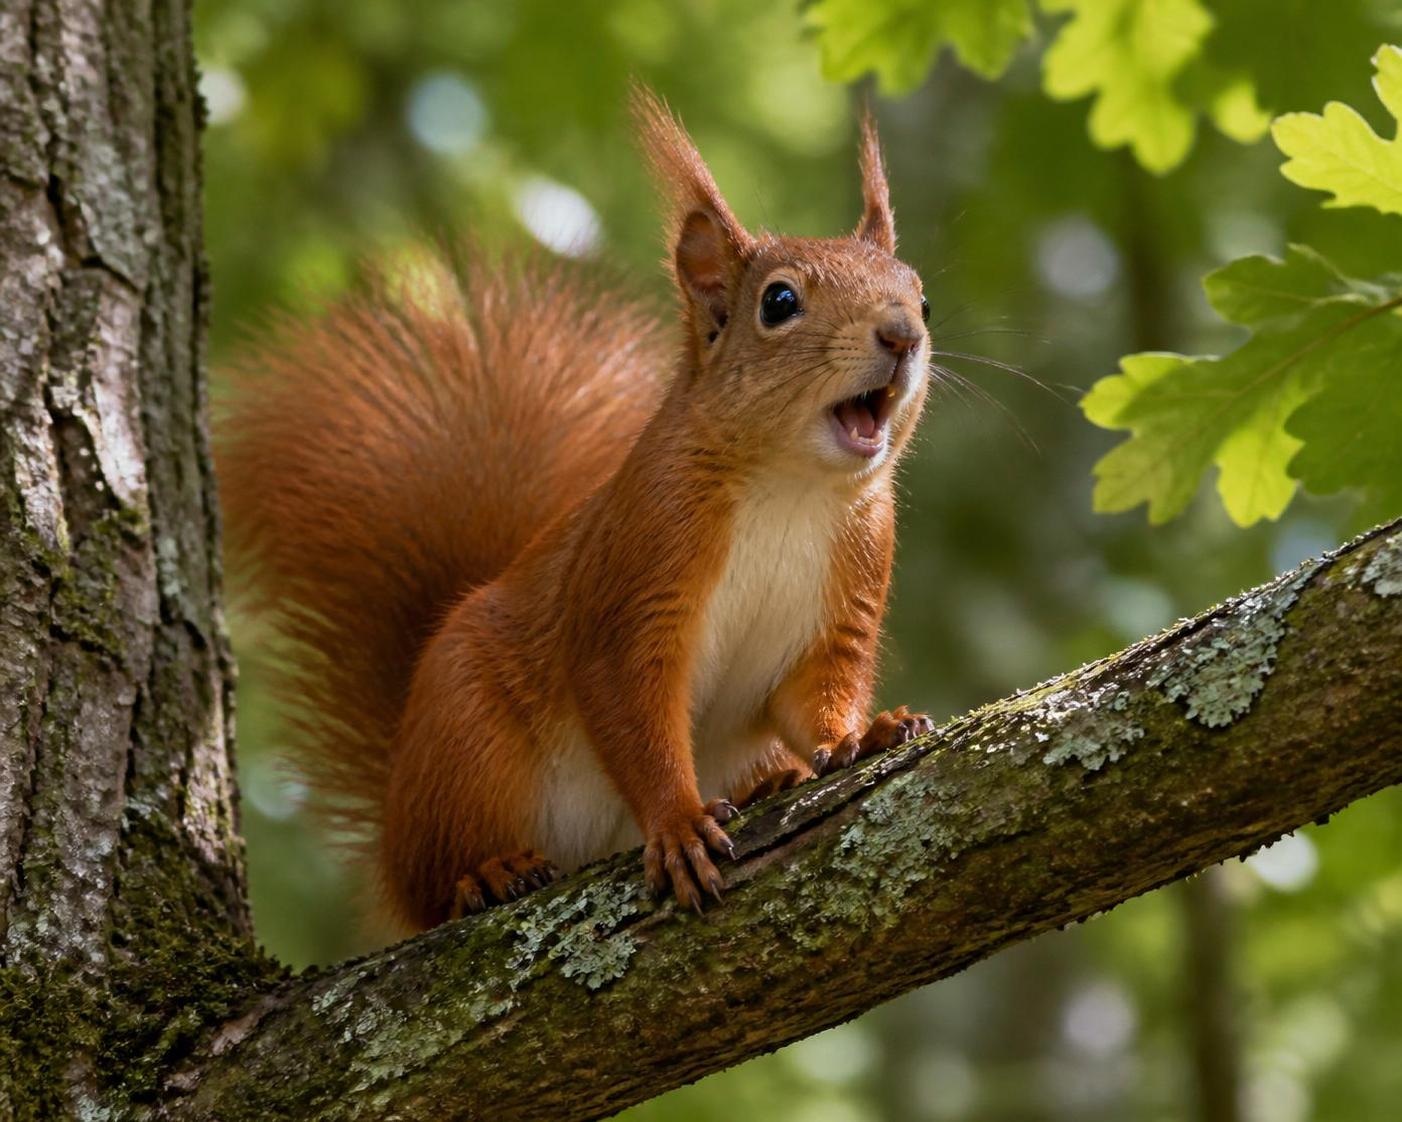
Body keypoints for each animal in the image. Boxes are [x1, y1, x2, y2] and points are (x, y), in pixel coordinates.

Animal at [218, 87, 935, 933]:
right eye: (780, 302)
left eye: (922, 295)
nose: (904, 335)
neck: (790, 487)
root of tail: (394, 830)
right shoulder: (638, 571)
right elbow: (629, 707)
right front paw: (677, 822)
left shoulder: (844, 600)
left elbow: (816, 697)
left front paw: (863, 733)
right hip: (466, 738)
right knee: (439, 876)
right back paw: (485, 873)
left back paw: (773, 780)